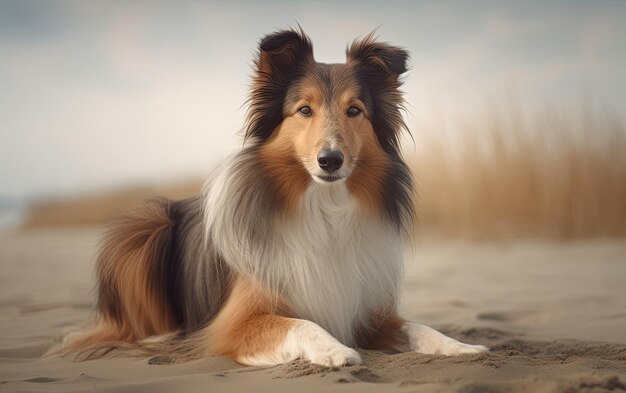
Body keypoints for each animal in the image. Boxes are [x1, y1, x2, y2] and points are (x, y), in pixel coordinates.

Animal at [58, 29, 486, 366]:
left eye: (355, 110)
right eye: (304, 110)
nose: (330, 160)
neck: (325, 209)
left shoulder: (367, 312)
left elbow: (418, 326)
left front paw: (461, 346)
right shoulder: (234, 324)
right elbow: (300, 323)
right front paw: (334, 350)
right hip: (143, 227)